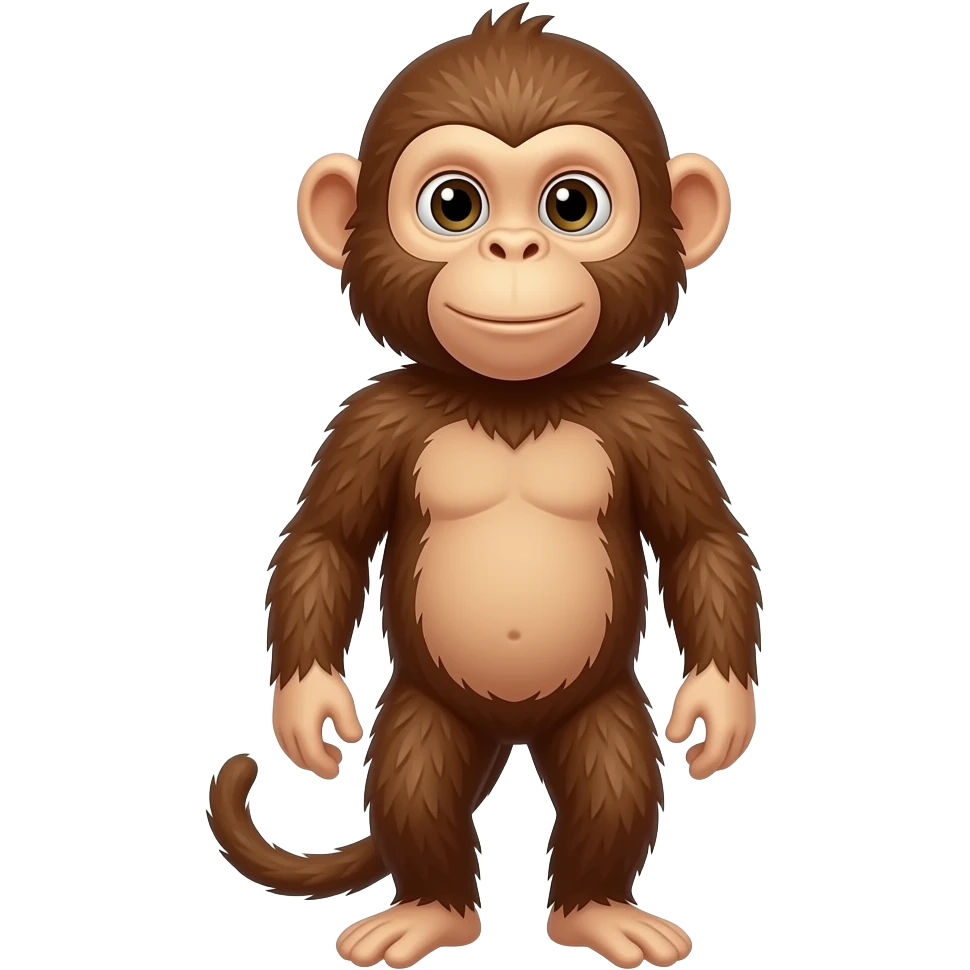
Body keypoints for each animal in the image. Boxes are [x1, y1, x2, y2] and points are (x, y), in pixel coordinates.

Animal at [207, 5, 762, 968]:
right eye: (454, 205)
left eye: (571, 204)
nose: (513, 245)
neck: (512, 398)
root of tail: (510, 734)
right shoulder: (373, 418)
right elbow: (325, 541)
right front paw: (308, 705)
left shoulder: (655, 419)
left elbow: (703, 542)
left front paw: (718, 707)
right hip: (429, 708)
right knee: (415, 777)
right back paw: (431, 910)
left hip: (600, 703)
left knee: (613, 775)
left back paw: (595, 910)